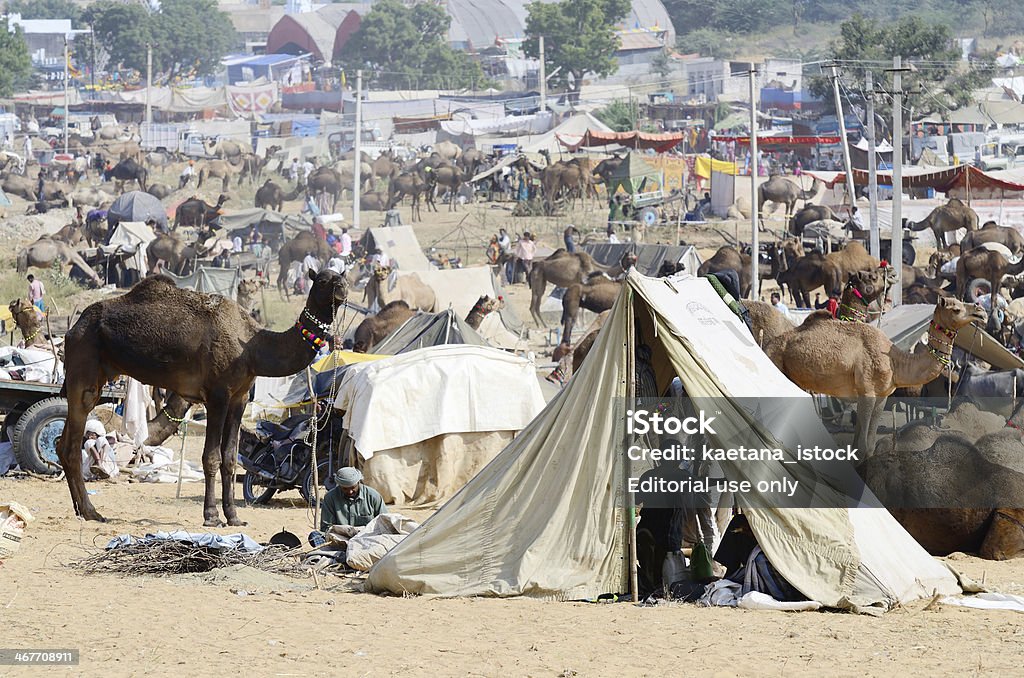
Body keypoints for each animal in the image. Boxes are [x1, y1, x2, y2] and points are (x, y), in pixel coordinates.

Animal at [58, 270, 350, 524]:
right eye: (323, 280)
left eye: (342, 275)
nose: (342, 289)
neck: (252, 347)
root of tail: (72, 330)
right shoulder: (217, 395)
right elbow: (211, 456)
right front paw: (211, 516)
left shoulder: (240, 397)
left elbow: (230, 458)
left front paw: (233, 517)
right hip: (84, 370)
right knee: (72, 445)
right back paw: (91, 512)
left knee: (63, 445)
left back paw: (81, 509)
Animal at [765, 297, 987, 456]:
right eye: (955, 308)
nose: (981, 311)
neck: (895, 361)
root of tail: (768, 344)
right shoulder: (867, 393)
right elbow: (861, 446)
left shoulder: (882, 397)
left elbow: (867, 445)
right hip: (776, 362)